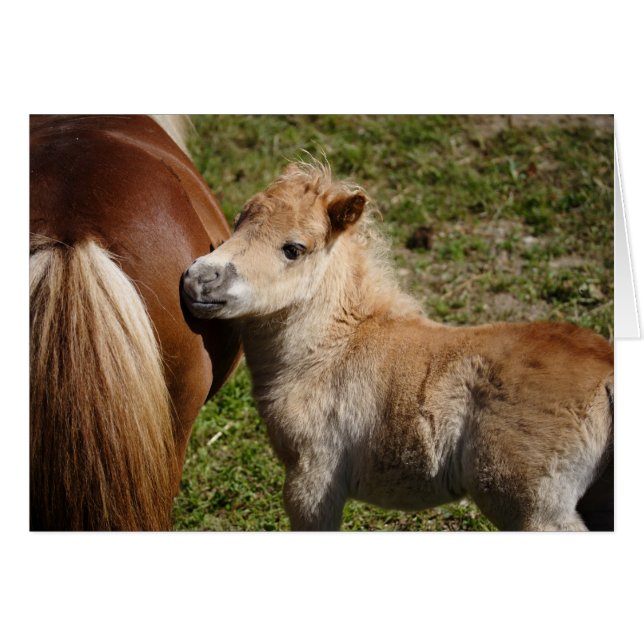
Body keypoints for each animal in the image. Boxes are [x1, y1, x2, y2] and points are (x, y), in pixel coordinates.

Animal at [181, 160, 614, 531]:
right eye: (238, 222)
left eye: (293, 249)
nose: (197, 280)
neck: (330, 352)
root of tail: (608, 374)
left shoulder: (313, 477)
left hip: (535, 509)